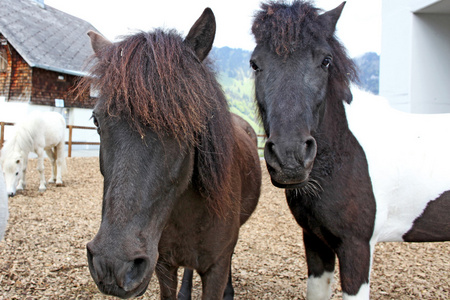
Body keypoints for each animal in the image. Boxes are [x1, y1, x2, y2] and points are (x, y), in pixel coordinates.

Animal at [250, 1, 450, 298]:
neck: (346, 155)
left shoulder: (357, 247)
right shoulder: (315, 241)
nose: (290, 158)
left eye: (326, 60)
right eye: (254, 64)